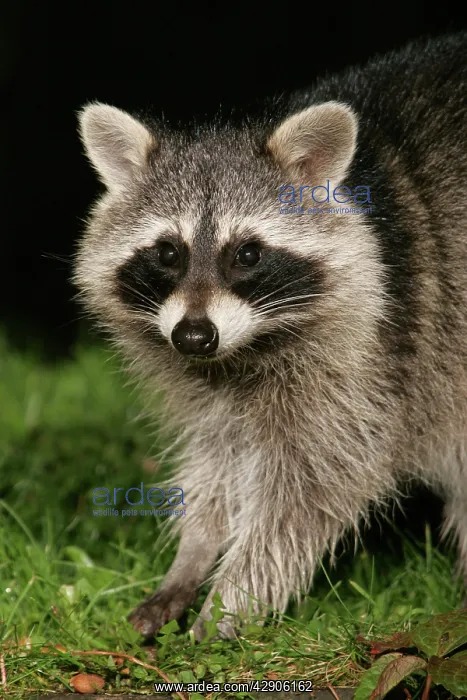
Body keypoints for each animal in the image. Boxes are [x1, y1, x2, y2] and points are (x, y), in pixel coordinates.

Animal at [73, 32, 467, 640]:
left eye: (248, 254)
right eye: (168, 253)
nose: (194, 336)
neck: (243, 352)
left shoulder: (371, 361)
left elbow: (308, 497)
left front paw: (228, 606)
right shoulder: (207, 386)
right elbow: (214, 461)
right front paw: (193, 553)